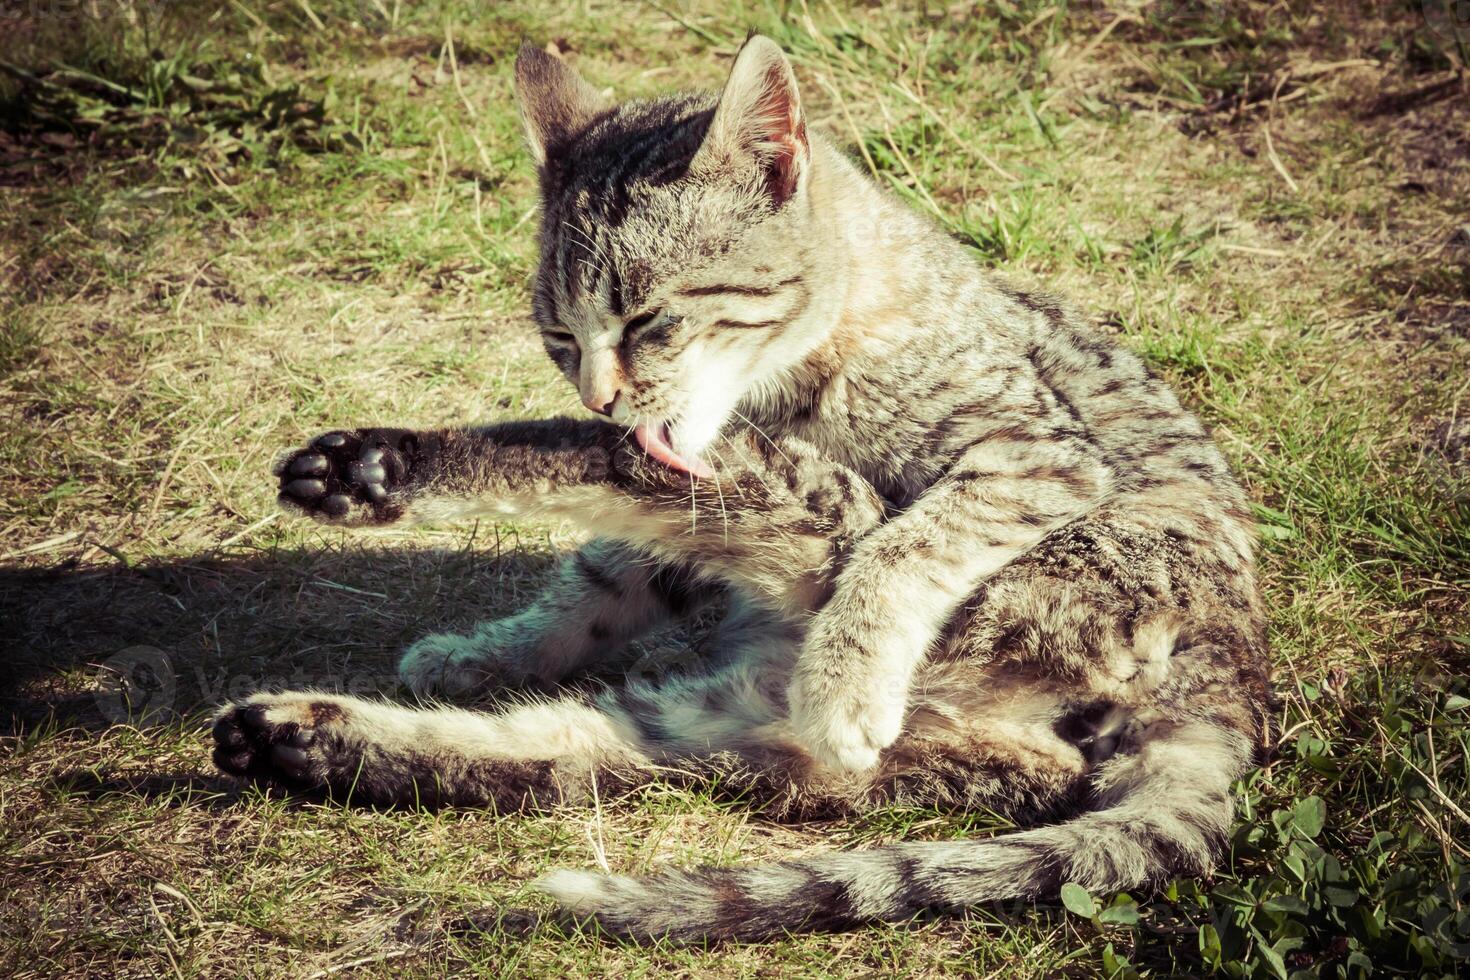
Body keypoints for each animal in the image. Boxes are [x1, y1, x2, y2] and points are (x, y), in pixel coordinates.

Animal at [210, 36, 1275, 940]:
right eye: (559, 338)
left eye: (650, 322)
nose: (597, 393)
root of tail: (1233, 686)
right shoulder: (676, 479)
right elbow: (602, 582)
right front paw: (494, 649)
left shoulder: (1033, 452)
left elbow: (909, 545)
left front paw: (849, 670)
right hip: (731, 716)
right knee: (580, 750)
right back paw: (304, 738)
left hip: (896, 548)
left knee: (643, 494)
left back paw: (379, 470)